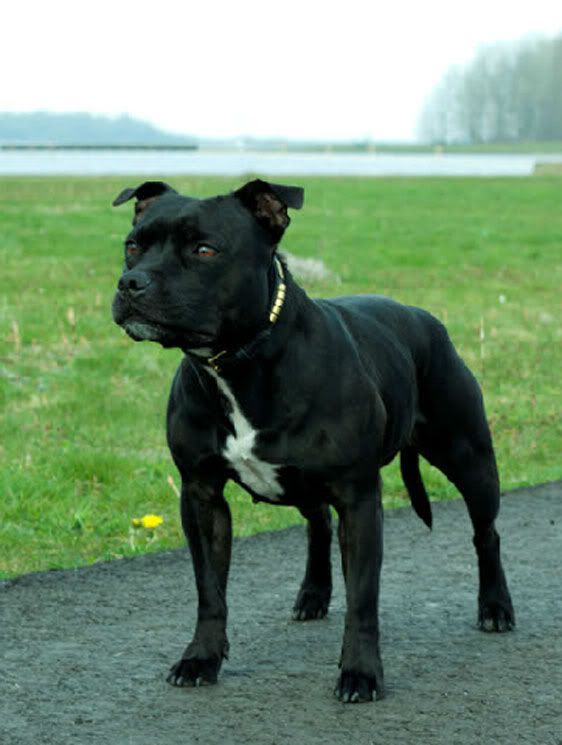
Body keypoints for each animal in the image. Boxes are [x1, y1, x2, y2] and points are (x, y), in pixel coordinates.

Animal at [111, 177, 516, 700]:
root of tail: (423, 316)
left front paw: (360, 672)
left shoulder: (358, 498)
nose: (131, 283)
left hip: (470, 459)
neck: (238, 363)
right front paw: (201, 658)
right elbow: (209, 590)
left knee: (486, 533)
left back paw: (496, 607)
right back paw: (313, 594)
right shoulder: (201, 496)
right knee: (318, 524)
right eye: (132, 246)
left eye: (204, 250)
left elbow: (363, 598)